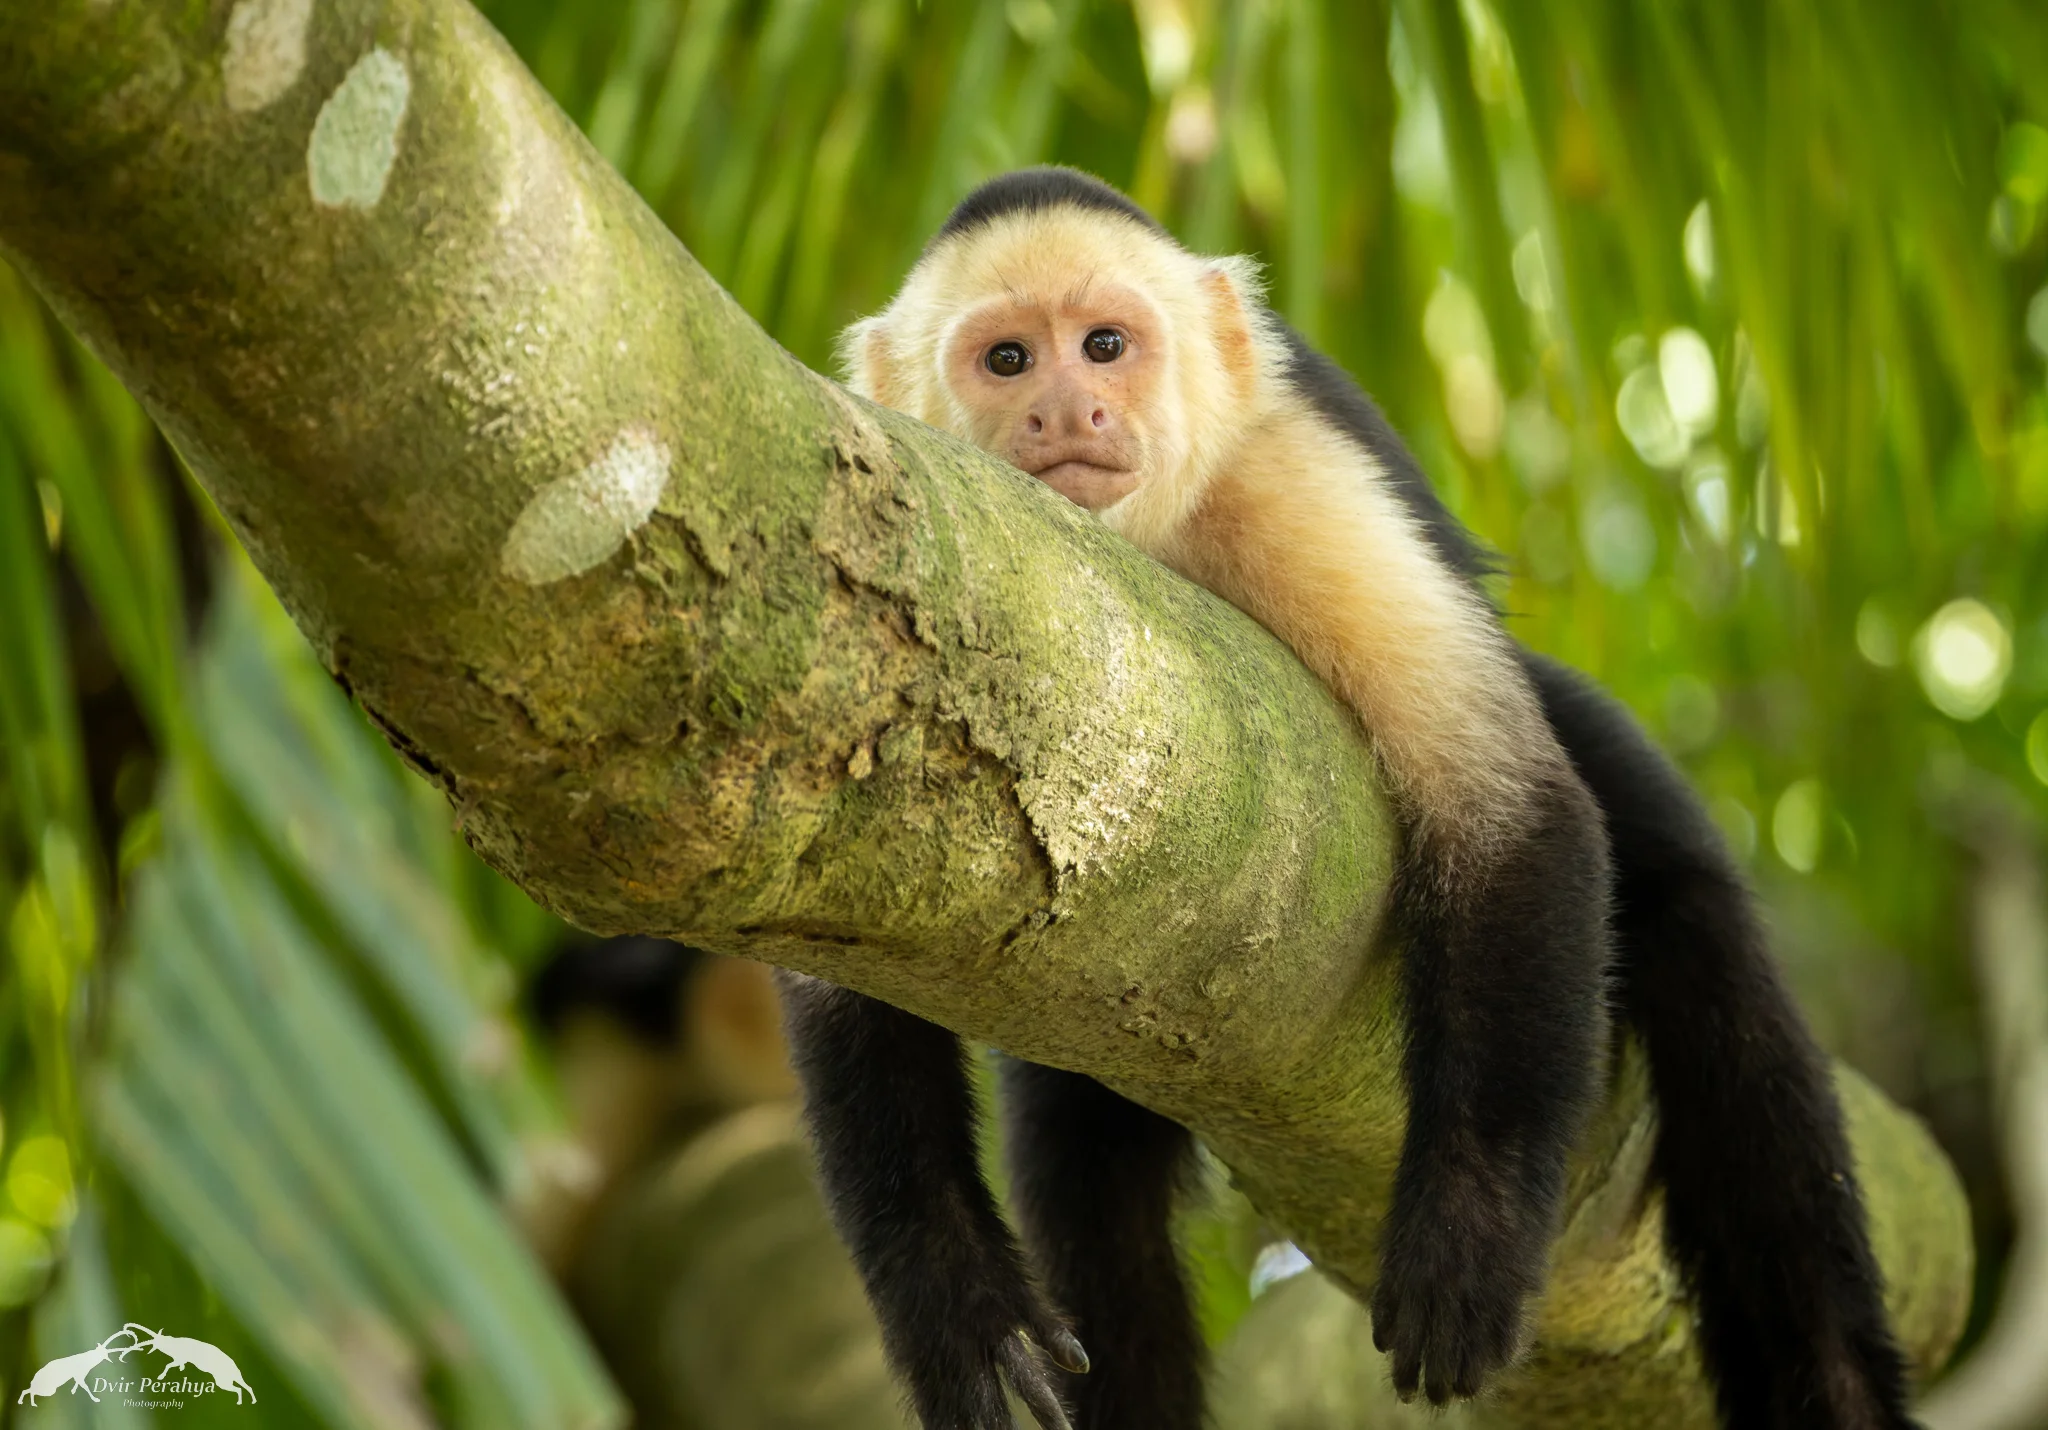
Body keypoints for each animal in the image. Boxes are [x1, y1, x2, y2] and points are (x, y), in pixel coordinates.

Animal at [776, 167, 1915, 1430]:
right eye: (1008, 359)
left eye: (1104, 345)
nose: (1067, 413)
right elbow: (838, 950)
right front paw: (954, 1302)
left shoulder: (1288, 481)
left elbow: (1505, 809)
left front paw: (1465, 1235)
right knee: (1076, 1148)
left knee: (1715, 991)